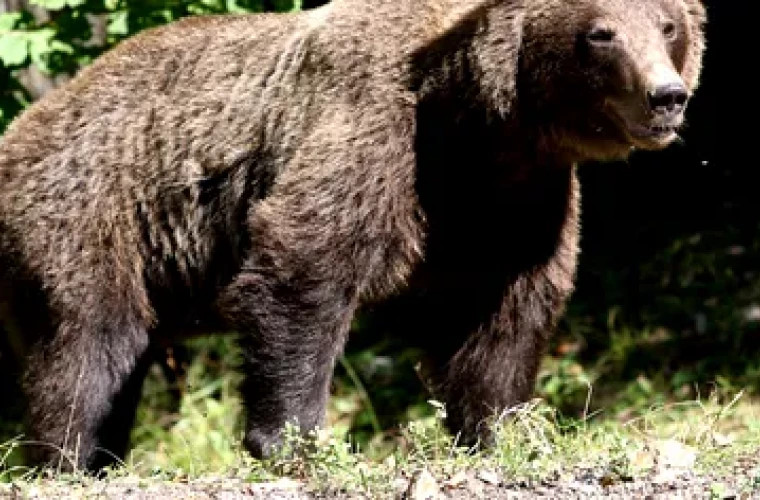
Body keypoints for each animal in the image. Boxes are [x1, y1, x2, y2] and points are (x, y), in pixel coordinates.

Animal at [0, 0, 705, 470]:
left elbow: (504, 318)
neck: (481, 131)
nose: (666, 95)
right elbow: (303, 267)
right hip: (90, 211)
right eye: (601, 32)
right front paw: (291, 440)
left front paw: (496, 431)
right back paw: (66, 457)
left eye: (667, 25)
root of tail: (25, 123)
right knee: (90, 343)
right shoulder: (375, 136)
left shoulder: (516, 205)